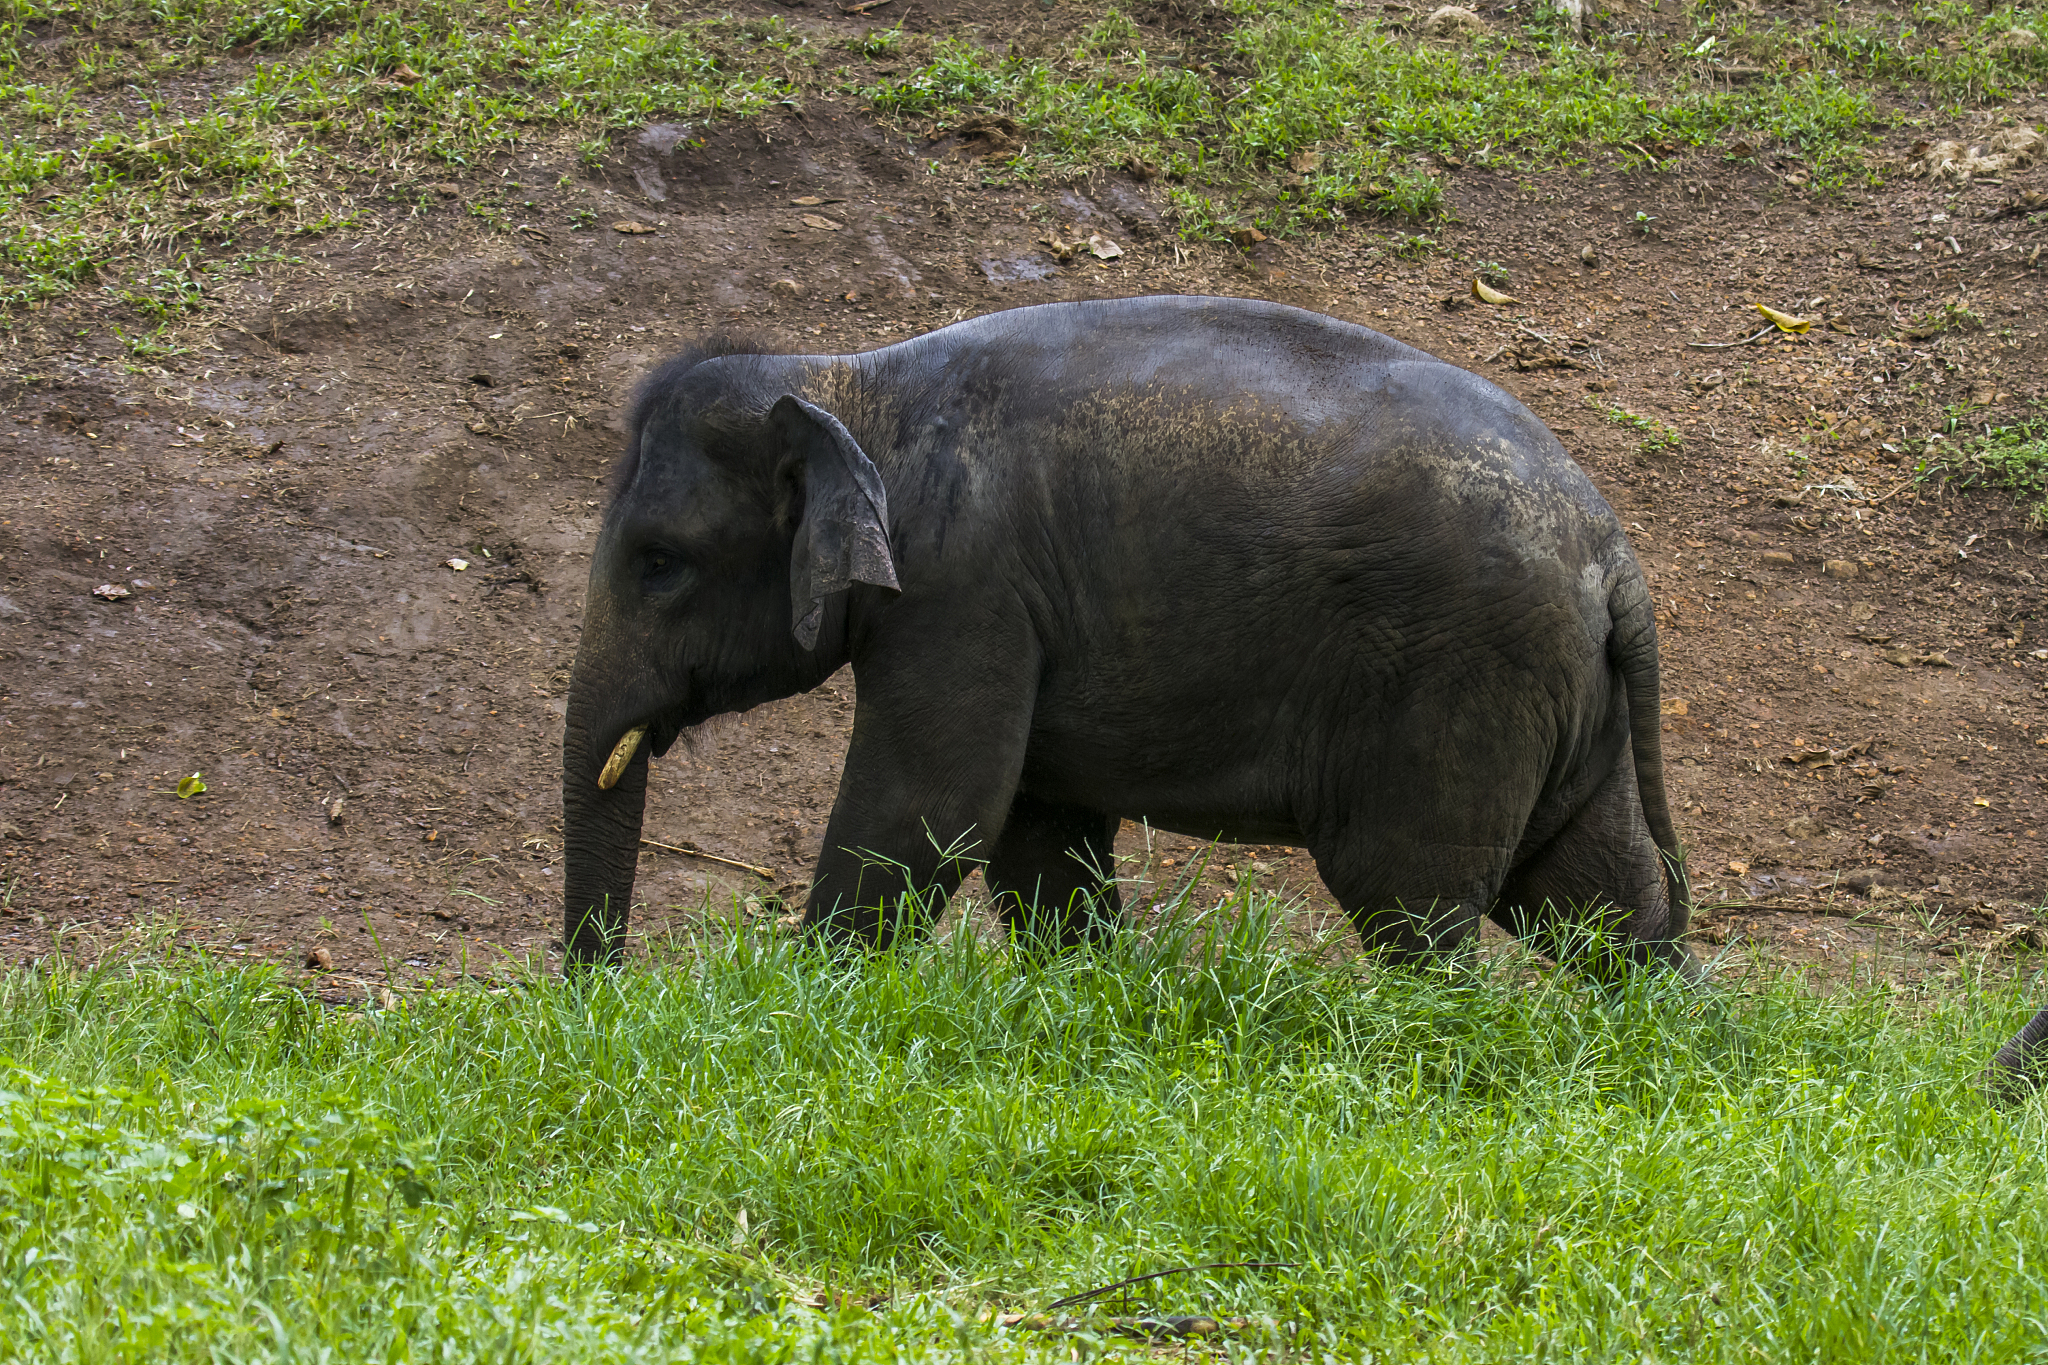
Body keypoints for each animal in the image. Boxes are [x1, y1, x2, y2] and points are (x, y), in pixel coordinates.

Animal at [562, 294, 1701, 979]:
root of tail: (1612, 554)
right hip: (1562, 697)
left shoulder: (962, 588)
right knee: (1594, 896)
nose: (599, 995)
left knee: (1416, 902)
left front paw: (808, 1003)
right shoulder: (1009, 608)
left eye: (659, 562)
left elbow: (931, 809)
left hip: (1463, 684)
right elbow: (1035, 837)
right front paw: (1084, 991)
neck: (850, 380)